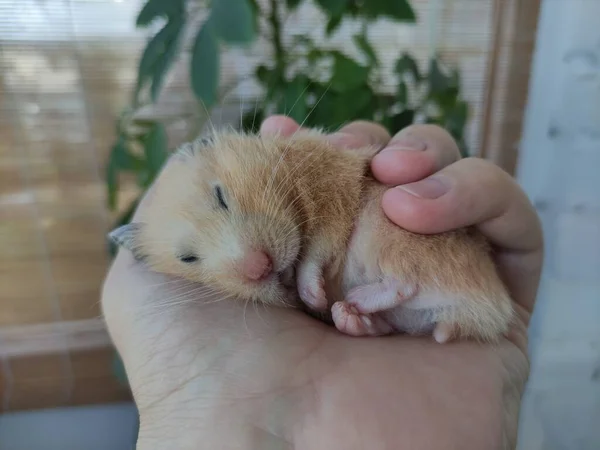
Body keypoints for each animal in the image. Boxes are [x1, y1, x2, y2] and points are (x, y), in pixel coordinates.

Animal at [110, 128, 512, 342]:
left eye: (221, 196)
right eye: (188, 259)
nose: (260, 268)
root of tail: (492, 307)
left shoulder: (334, 198)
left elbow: (316, 252)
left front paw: (312, 293)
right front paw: (312, 297)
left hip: (388, 231)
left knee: (405, 280)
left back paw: (353, 300)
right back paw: (352, 316)